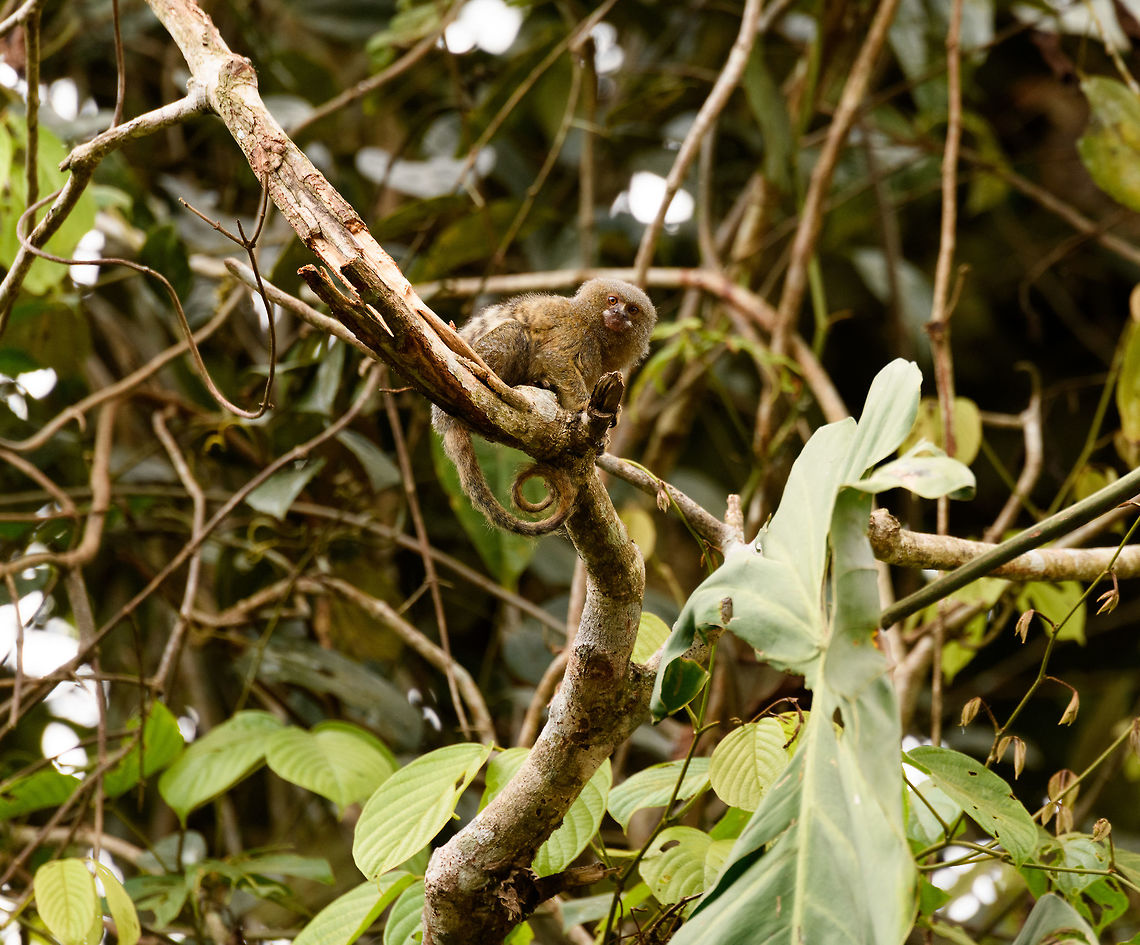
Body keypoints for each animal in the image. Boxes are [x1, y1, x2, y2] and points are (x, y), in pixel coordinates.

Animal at [432, 278, 656, 536]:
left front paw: (604, 432)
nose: (619, 314)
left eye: (632, 310)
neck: (595, 330)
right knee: (514, 332)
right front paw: (582, 407)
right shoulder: (574, 328)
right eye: (612, 300)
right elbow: (556, 358)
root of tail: (445, 420)